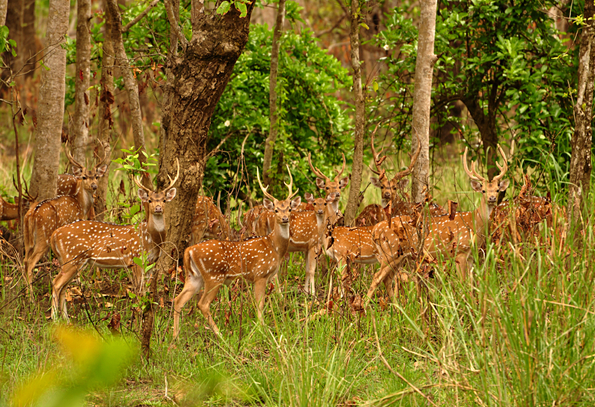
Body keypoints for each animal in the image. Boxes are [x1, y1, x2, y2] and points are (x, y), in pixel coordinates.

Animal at [23, 146, 109, 290]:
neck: (81, 205)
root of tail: (33, 213)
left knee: (24, 259)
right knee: (30, 261)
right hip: (44, 235)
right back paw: (31, 294)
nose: (94, 186)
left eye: (96, 176)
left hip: (28, 238)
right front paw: (79, 282)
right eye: (84, 177)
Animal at [49, 161, 179, 320]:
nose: (158, 208)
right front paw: (138, 316)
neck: (151, 239)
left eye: (164, 200)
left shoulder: (150, 263)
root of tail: (54, 235)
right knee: (56, 283)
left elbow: (146, 292)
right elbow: (139, 292)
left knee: (63, 287)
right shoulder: (135, 260)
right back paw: (55, 319)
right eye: (149, 200)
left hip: (71, 261)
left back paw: (66, 320)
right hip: (72, 257)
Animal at [172, 167, 302, 338]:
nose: (285, 218)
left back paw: (175, 336)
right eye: (275, 210)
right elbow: (259, 304)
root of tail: (189, 251)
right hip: (214, 276)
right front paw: (261, 329)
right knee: (203, 304)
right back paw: (220, 335)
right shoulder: (260, 274)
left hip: (194, 277)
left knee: (178, 300)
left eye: (289, 208)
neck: (274, 246)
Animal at [368, 144, 512, 302]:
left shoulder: (470, 256)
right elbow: (463, 283)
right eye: (484, 190)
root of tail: (375, 230)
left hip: (399, 255)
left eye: (497, 190)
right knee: (376, 277)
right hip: (391, 251)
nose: (492, 198)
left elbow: (471, 284)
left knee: (387, 279)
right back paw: (364, 306)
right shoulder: (459, 251)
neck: (475, 223)